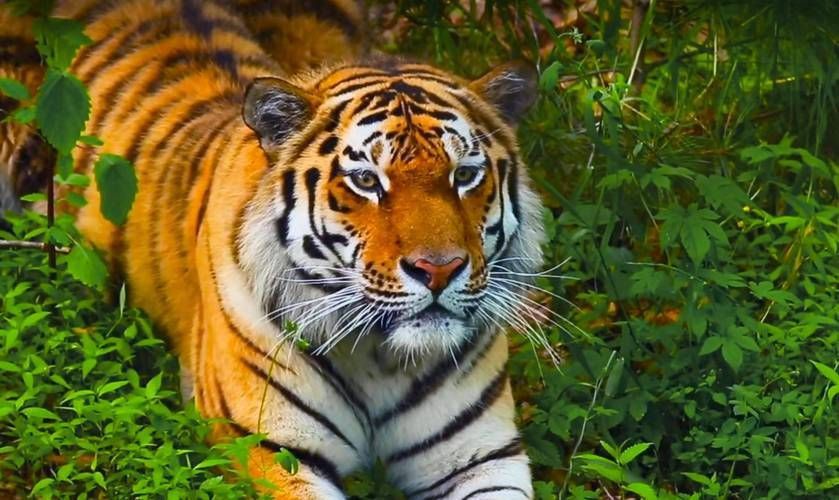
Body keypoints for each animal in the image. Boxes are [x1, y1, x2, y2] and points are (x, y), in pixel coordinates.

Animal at [0, 1, 547, 498]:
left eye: (465, 175)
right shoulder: (271, 447)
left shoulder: (481, 456)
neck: (383, 360)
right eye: (367, 180)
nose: (438, 269)